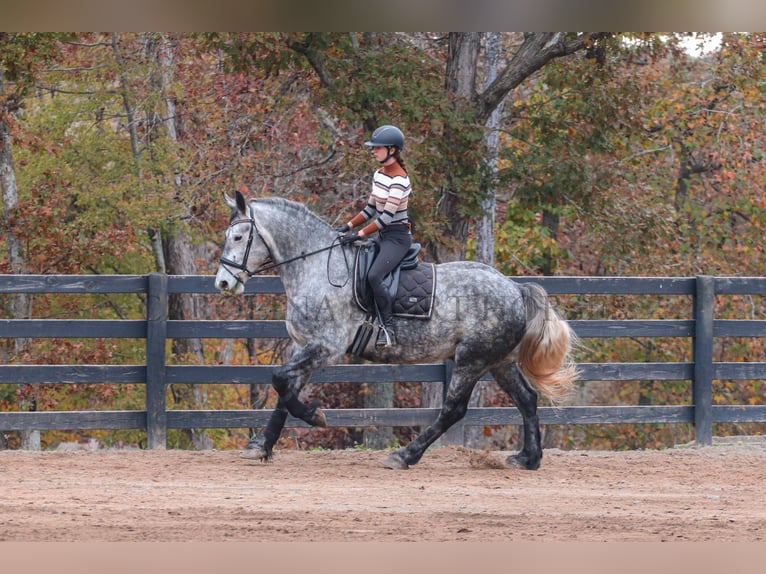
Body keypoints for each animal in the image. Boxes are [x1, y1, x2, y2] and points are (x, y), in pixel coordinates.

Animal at [213, 191, 580, 470]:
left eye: (238, 237)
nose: (223, 283)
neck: (316, 266)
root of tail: (514, 288)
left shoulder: (326, 347)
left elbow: (280, 382)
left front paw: (314, 416)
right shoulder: (302, 345)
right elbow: (283, 391)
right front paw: (262, 445)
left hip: (471, 359)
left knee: (453, 410)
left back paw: (404, 456)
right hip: (499, 361)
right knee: (527, 399)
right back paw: (528, 458)